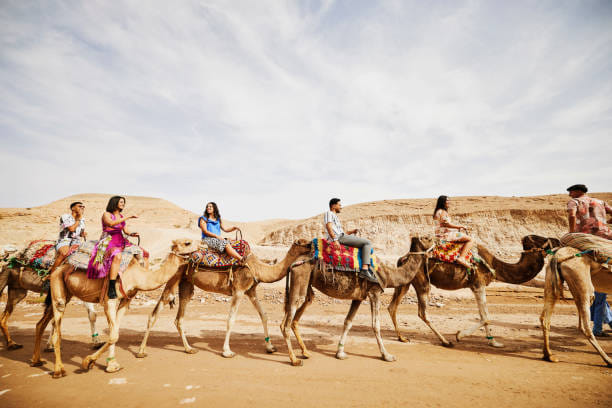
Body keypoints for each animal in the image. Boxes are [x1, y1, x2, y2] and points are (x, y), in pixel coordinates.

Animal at [29, 238, 198, 378]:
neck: (137, 275)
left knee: (41, 323)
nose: (201, 246)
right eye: (187, 243)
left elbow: (115, 333)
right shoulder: (109, 299)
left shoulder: (125, 301)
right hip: (58, 285)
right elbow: (112, 335)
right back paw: (58, 370)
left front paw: (111, 365)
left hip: (66, 291)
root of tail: (57, 266)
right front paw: (88, 361)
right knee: (56, 327)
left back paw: (36, 360)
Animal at [136, 239, 312, 358]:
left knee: (179, 317)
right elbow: (230, 320)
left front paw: (270, 347)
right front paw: (227, 351)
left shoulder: (251, 291)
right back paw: (141, 351)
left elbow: (264, 315)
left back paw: (189, 349)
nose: (313, 245)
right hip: (174, 276)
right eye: (303, 242)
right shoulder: (239, 290)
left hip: (186, 283)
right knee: (157, 310)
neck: (258, 267)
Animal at [281, 252, 423, 366]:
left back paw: (305, 352)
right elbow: (376, 325)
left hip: (306, 285)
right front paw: (387, 355)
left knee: (295, 316)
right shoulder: (374, 291)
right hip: (300, 279)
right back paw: (294, 360)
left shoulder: (358, 297)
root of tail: (293, 263)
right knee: (287, 321)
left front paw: (340, 353)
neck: (388, 274)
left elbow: (348, 322)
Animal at [387, 236, 547, 348]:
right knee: (422, 312)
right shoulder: (478, 284)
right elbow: (485, 317)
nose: (553, 240)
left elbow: (485, 315)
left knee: (392, 307)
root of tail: (402, 258)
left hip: (405, 282)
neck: (493, 265)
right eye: (540, 239)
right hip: (422, 283)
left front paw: (494, 342)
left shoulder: (477, 286)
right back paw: (446, 342)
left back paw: (402, 338)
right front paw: (459, 335)